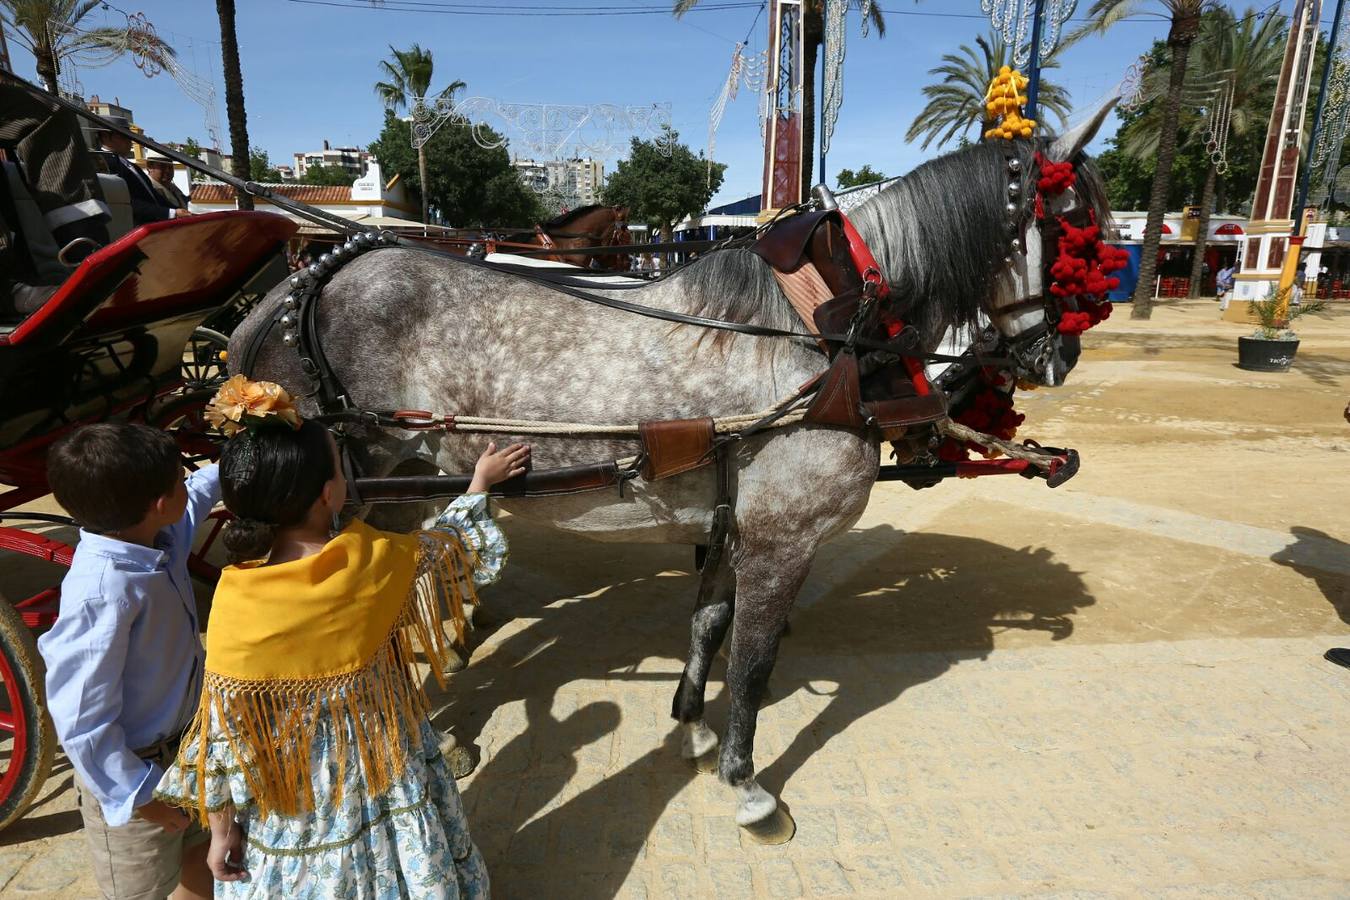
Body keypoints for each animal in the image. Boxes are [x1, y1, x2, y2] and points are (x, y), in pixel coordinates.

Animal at [232, 101, 1112, 841]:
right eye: (1076, 229)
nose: (1058, 355)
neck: (822, 334)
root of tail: (297, 288)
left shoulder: (731, 524)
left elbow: (709, 626)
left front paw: (691, 724)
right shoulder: (784, 540)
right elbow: (753, 664)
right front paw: (747, 784)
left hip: (401, 496)